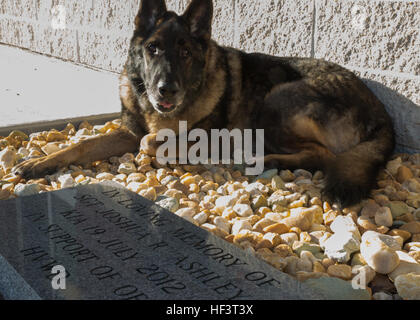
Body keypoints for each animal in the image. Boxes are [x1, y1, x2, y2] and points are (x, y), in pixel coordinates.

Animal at [13, 0, 394, 208]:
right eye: (152, 49)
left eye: (185, 53)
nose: (165, 91)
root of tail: (382, 114)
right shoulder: (126, 131)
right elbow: (83, 145)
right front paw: (40, 162)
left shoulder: (201, 136)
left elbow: (151, 142)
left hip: (276, 101)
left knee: (324, 155)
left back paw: (264, 158)